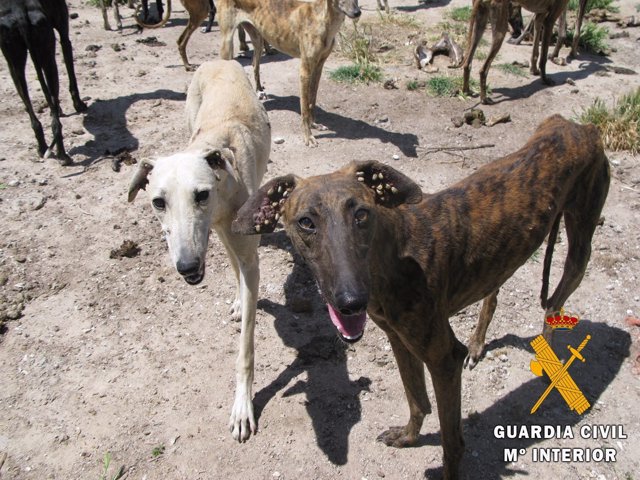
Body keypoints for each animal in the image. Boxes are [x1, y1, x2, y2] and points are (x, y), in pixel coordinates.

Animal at [127, 60, 270, 442]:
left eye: (201, 194)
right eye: (157, 202)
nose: (187, 265)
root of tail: (218, 60)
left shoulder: (248, 255)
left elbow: (245, 349)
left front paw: (242, 407)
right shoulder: (223, 236)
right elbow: (238, 273)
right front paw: (239, 301)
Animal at [234, 115, 608, 476]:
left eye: (362, 214)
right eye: (306, 222)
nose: (351, 301)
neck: (394, 255)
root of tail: (579, 126)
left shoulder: (444, 359)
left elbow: (451, 443)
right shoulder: (399, 339)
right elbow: (417, 399)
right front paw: (408, 436)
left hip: (581, 247)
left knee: (554, 304)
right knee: (494, 294)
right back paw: (478, 343)